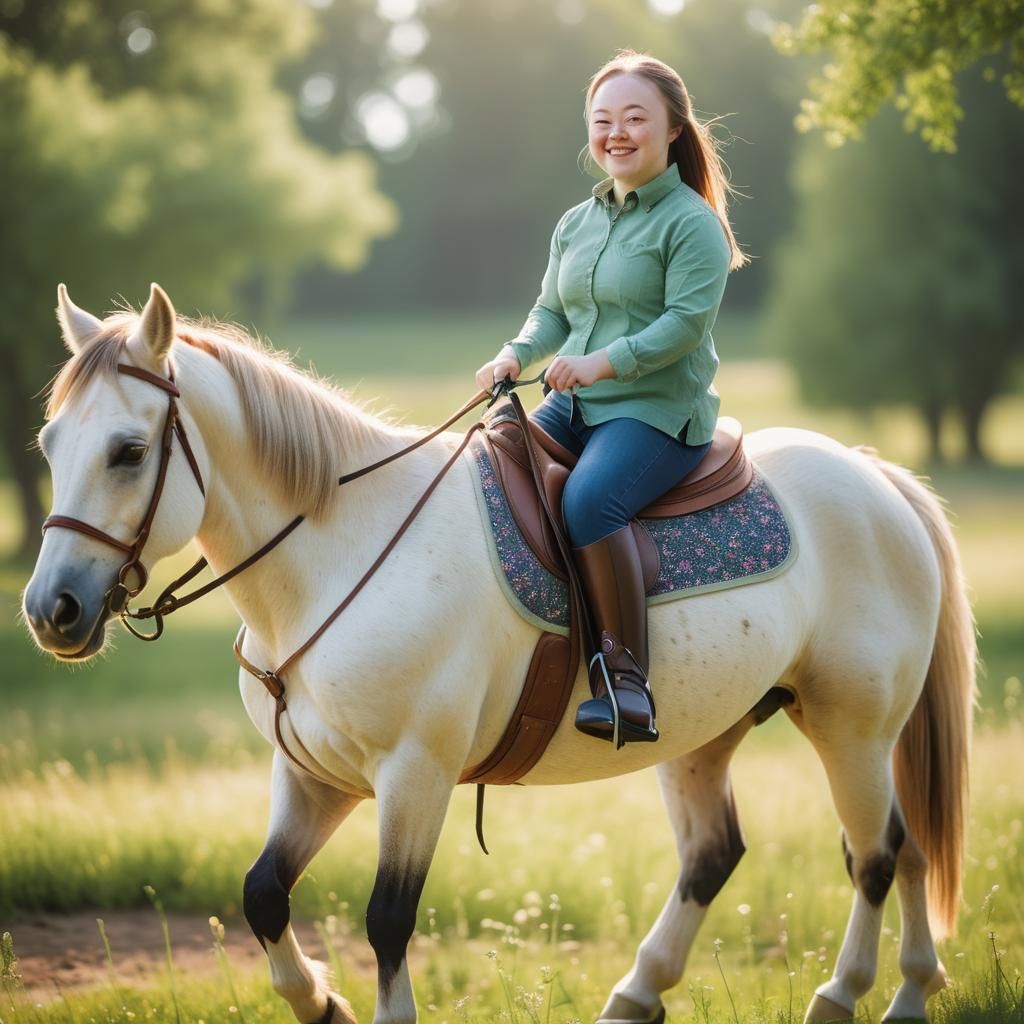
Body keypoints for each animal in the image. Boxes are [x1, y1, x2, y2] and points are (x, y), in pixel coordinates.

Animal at [23, 283, 975, 1024]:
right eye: (49, 444)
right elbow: (263, 895)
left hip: (852, 728)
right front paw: (321, 1001)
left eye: (129, 451)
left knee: (880, 852)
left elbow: (387, 921)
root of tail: (874, 477)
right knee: (743, 855)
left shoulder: (415, 773)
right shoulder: (315, 774)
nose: (50, 611)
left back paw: (851, 994)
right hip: (711, 736)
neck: (338, 554)